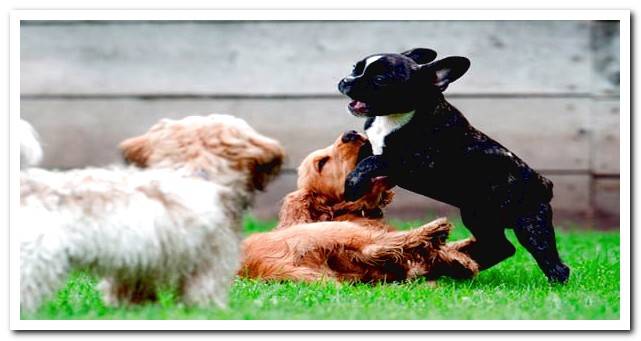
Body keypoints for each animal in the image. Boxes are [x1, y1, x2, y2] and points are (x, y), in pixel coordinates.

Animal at [238, 130, 478, 282]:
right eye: (321, 163)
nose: (350, 133)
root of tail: (261, 266)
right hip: (333, 232)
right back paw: (437, 232)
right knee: (379, 245)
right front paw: (457, 254)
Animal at [338, 47, 572, 282]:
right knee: (500, 247)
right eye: (355, 68)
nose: (346, 80)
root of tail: (543, 182)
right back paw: (461, 264)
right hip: (478, 217)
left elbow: (373, 160)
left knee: (550, 260)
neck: (392, 118)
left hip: (530, 224)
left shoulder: (411, 163)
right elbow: (366, 152)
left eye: (379, 80)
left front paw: (353, 184)